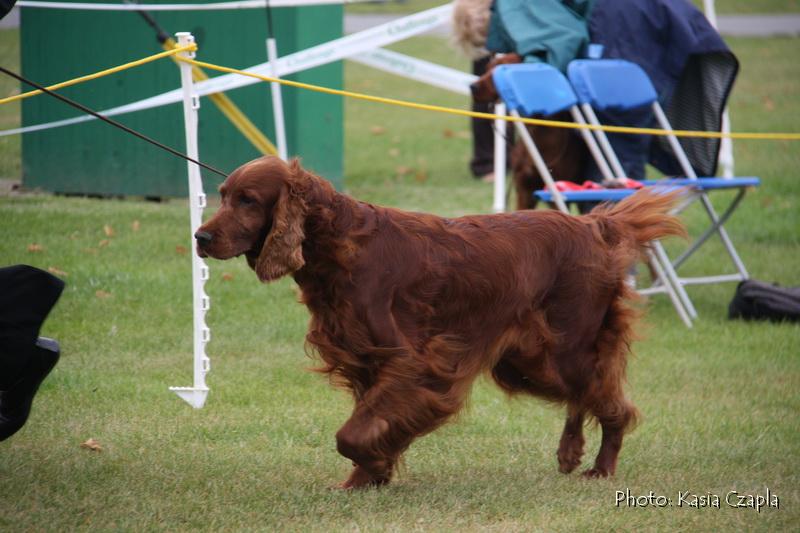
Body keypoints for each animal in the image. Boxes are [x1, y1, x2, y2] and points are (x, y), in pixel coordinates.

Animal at [192, 155, 680, 486]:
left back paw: (601, 467)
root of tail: (594, 227)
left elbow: (351, 434)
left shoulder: (411, 362)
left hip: (565, 348)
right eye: (222, 195)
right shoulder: (368, 364)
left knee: (613, 403)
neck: (340, 244)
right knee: (585, 394)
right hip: (527, 362)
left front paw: (371, 467)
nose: (200, 237)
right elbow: (366, 425)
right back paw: (570, 452)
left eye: (248, 200)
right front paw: (370, 475)